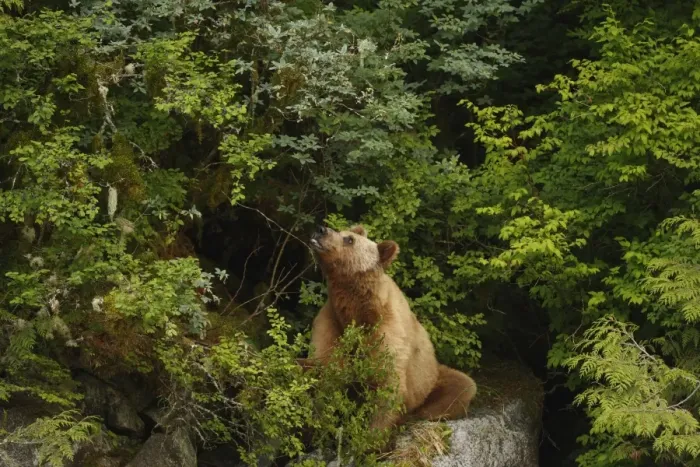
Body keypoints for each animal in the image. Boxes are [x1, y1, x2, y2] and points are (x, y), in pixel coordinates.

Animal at [305, 224, 477, 430]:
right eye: (343, 232)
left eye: (349, 239)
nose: (320, 229)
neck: (357, 311)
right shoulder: (331, 324)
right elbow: (327, 371)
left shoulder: (387, 333)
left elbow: (388, 384)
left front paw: (373, 434)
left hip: (432, 379)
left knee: (462, 385)